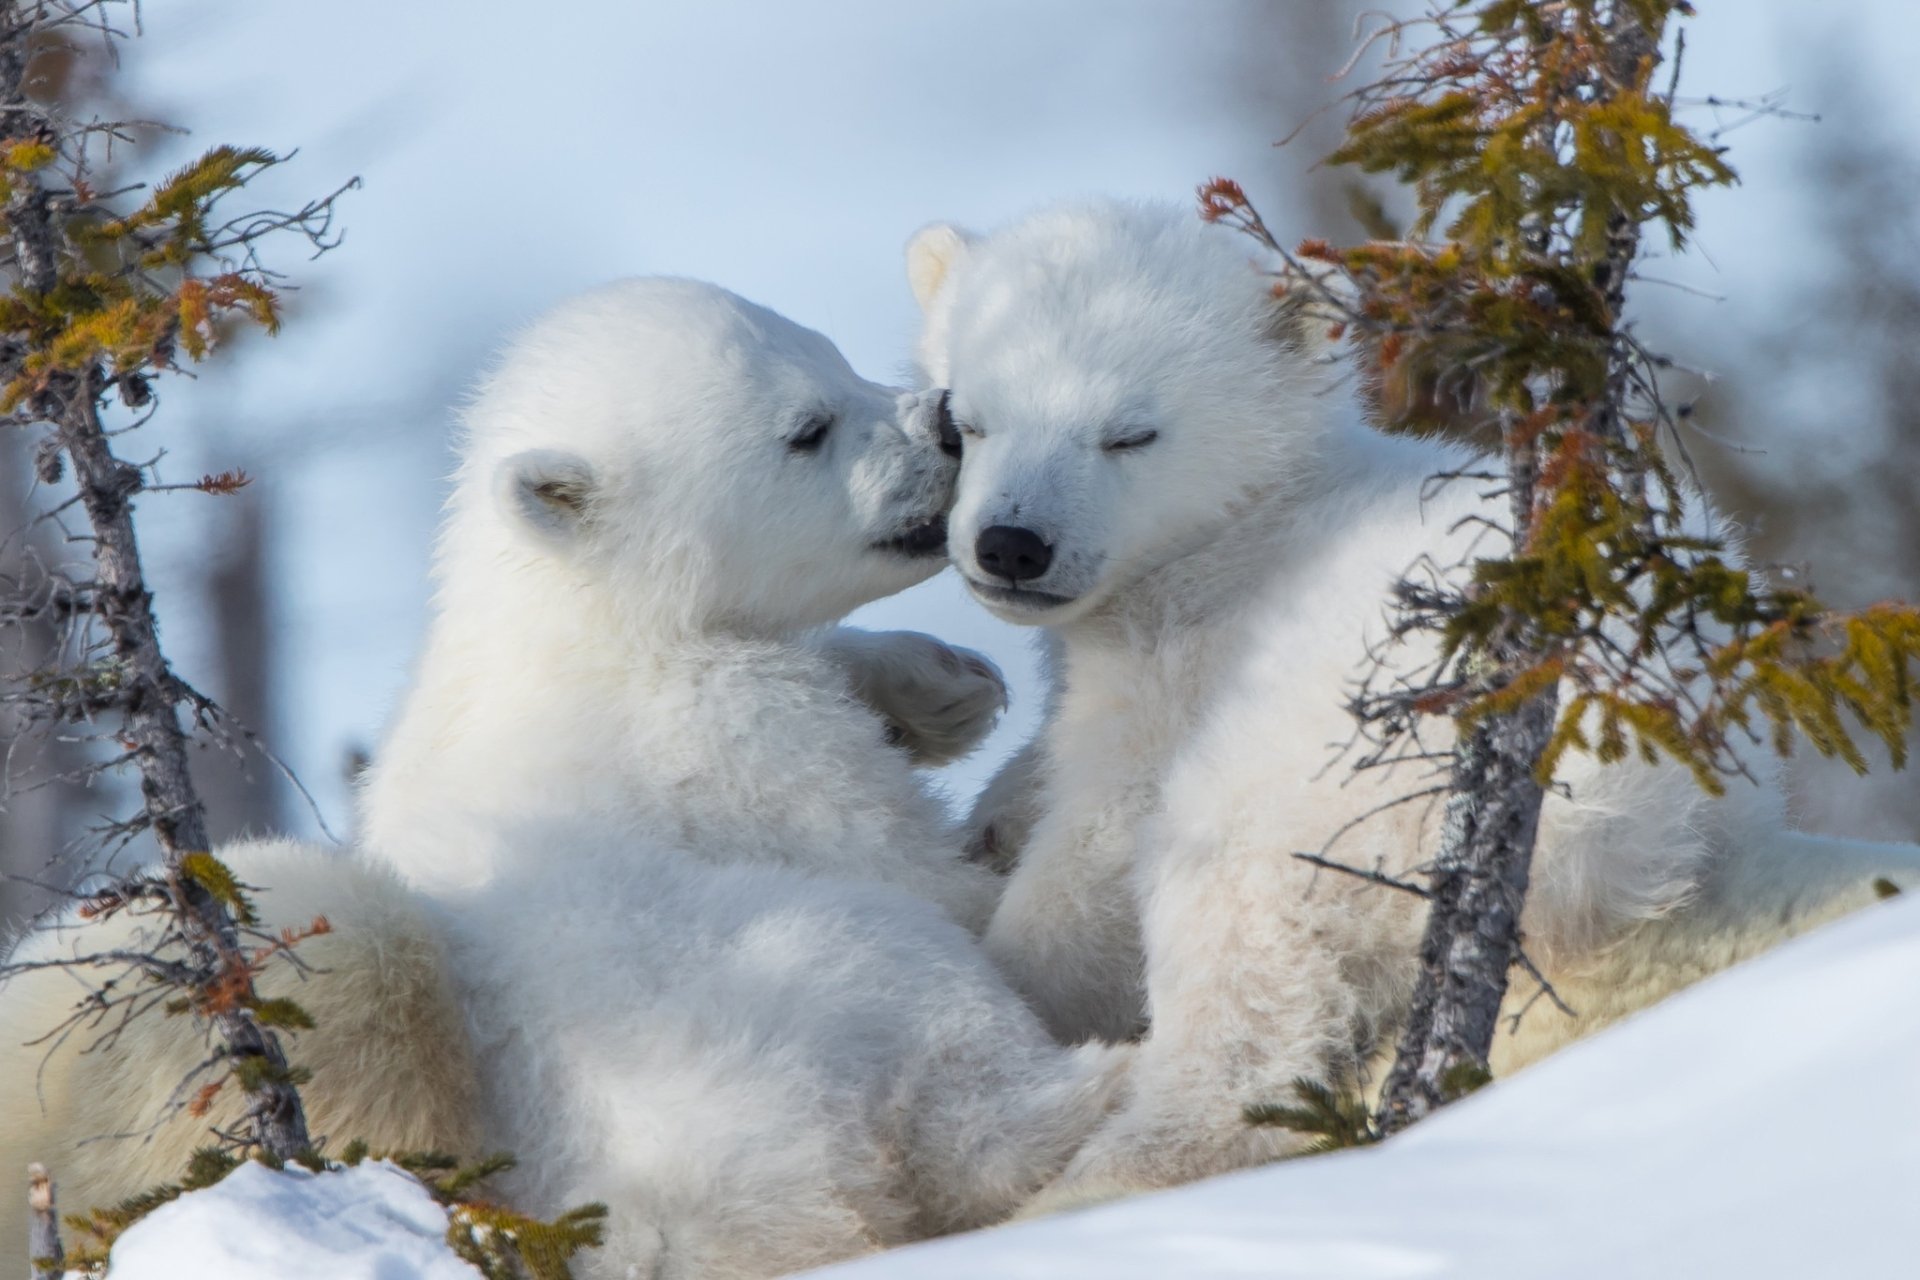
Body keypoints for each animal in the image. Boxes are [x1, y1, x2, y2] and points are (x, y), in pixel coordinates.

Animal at [0, 277, 1127, 1277]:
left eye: (831, 353)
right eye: (806, 428)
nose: (942, 423)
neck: (582, 621)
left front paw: (943, 683)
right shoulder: (726, 733)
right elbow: (926, 872)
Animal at [904, 199, 1920, 1200]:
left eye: (1130, 434)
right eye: (967, 420)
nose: (1011, 545)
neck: (1245, 530)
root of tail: (1636, 803)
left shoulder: (1185, 656)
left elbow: (1101, 844)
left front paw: (1009, 965)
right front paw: (996, 811)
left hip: (1351, 777)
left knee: (1240, 942)